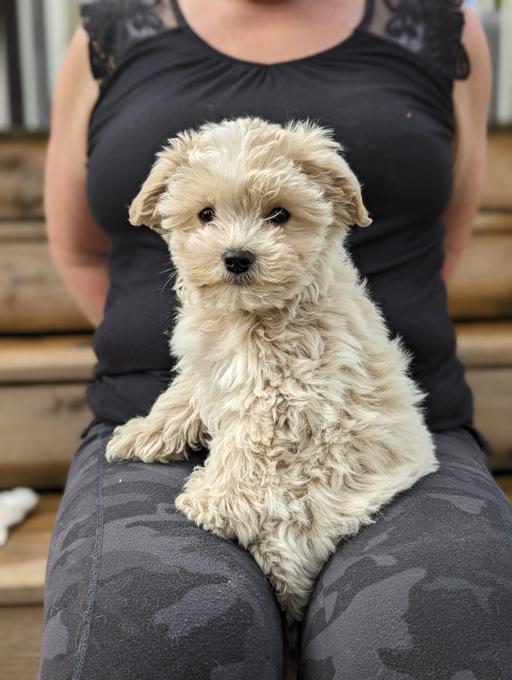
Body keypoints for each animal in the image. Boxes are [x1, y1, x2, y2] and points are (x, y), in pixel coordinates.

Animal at [106, 115, 438, 628]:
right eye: (206, 214)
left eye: (279, 215)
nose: (237, 257)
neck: (250, 316)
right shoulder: (210, 367)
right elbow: (181, 397)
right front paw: (142, 434)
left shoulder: (286, 394)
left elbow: (247, 446)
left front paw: (211, 499)